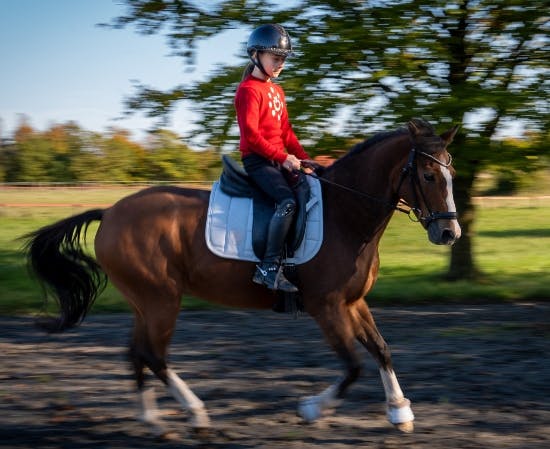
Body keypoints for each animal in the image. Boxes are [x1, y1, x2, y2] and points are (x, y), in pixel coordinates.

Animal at [23, 118, 462, 438]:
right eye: (427, 175)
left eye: (451, 173)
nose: (449, 233)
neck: (346, 214)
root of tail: (111, 212)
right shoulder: (326, 307)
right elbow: (353, 365)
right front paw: (310, 409)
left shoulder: (353, 302)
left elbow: (381, 350)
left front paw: (400, 412)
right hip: (161, 300)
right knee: (153, 354)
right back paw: (196, 414)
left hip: (143, 302)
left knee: (136, 353)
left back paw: (151, 420)